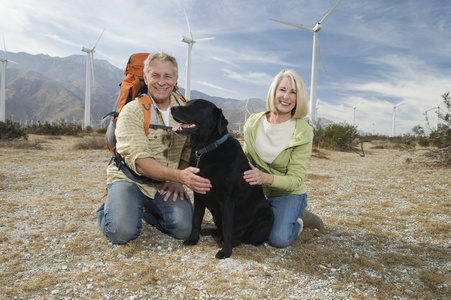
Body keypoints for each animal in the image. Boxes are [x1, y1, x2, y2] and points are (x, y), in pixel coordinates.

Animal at [171, 99, 274, 258]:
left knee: (244, 238)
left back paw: (232, 241)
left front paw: (226, 252)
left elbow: (227, 228)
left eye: (196, 107)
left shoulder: (227, 200)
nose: (172, 108)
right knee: (221, 229)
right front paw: (193, 239)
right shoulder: (199, 193)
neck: (207, 149)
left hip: (267, 215)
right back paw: (210, 231)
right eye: (187, 103)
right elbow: (196, 220)